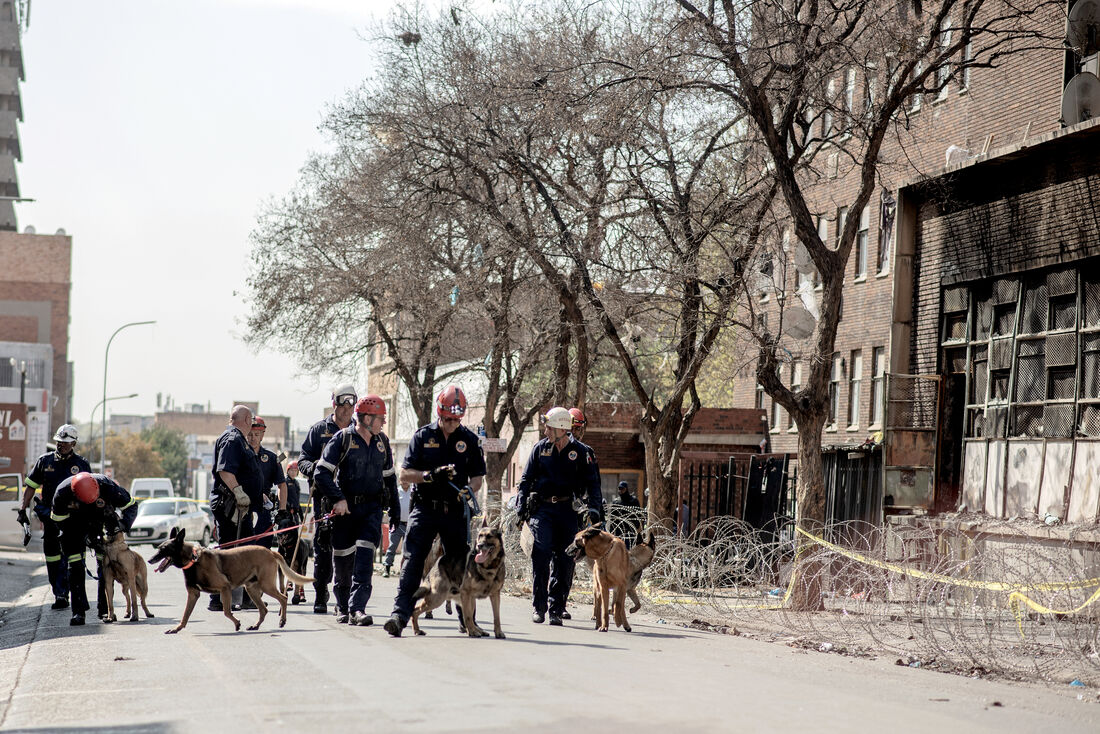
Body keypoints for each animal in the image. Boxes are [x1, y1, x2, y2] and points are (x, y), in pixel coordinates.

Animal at [146, 526, 314, 633]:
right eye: (159, 548)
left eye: (164, 549)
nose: (149, 560)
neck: (193, 560)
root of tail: (270, 551)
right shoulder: (193, 594)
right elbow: (185, 615)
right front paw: (177, 629)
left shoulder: (224, 588)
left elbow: (226, 611)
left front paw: (237, 623)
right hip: (252, 589)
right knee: (263, 609)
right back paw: (255, 626)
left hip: (266, 586)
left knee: (283, 598)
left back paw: (282, 621)